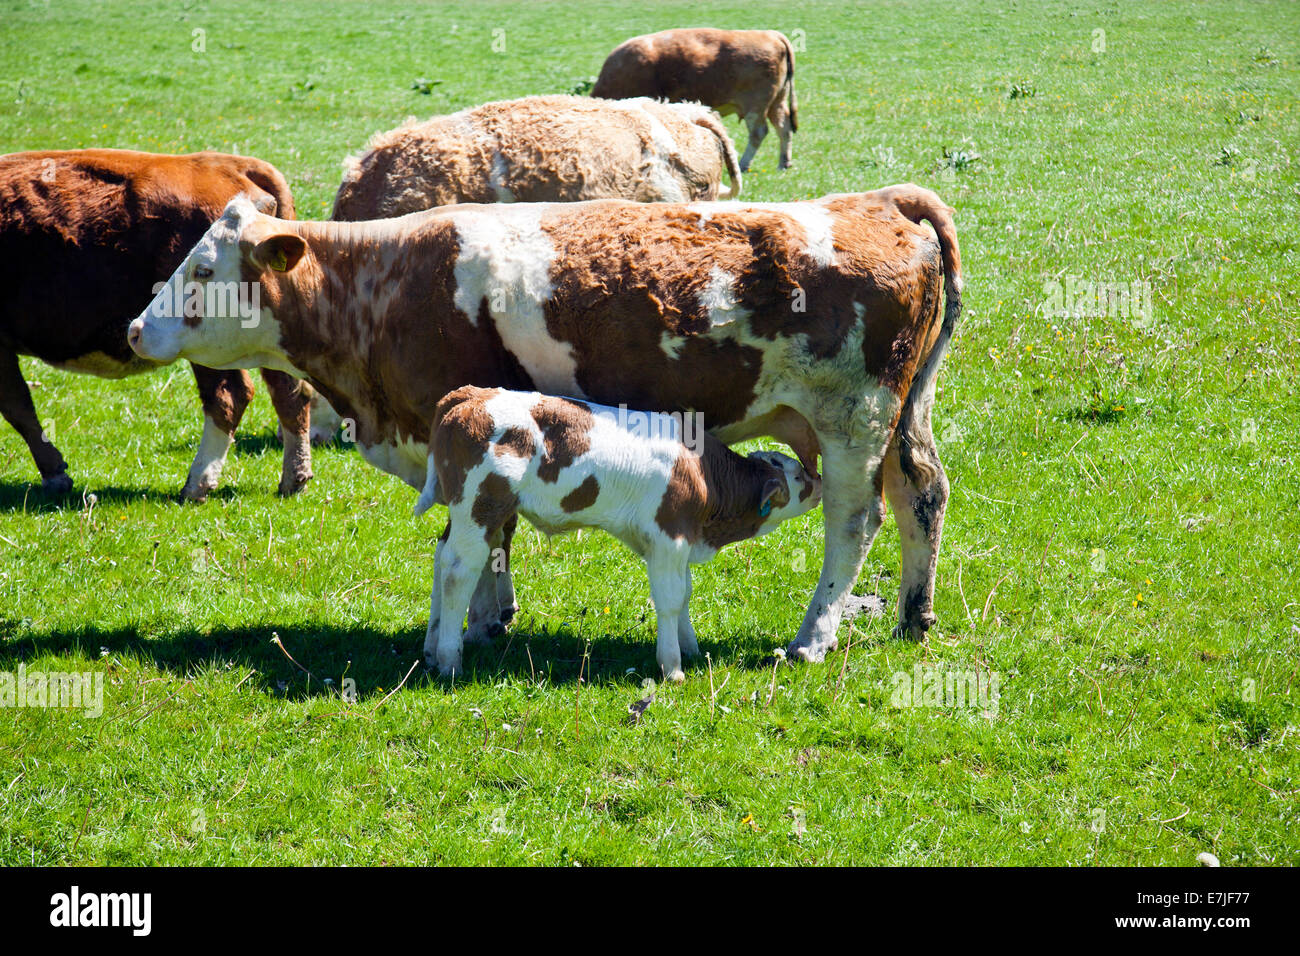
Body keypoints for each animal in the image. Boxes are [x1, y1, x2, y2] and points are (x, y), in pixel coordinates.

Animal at [0, 149, 313, 500]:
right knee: (289, 392)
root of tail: (232, 165)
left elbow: (18, 407)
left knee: (228, 396)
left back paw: (197, 483)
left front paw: (55, 474)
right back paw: (294, 478)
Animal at [418, 386, 822, 678]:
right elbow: (671, 599)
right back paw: (450, 661)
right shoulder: (670, 537)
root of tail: (470, 395)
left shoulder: (678, 543)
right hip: (481, 508)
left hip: (467, 512)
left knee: (441, 559)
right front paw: (672, 667)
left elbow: (685, 594)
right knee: (458, 571)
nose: (819, 482)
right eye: (798, 478)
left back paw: (432, 650)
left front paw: (690, 648)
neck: (703, 473)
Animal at [592, 28, 798, 172]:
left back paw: (743, 164)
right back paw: (784, 163)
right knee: (784, 128)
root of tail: (771, 34)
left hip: (756, 107)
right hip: (776, 103)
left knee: (759, 133)